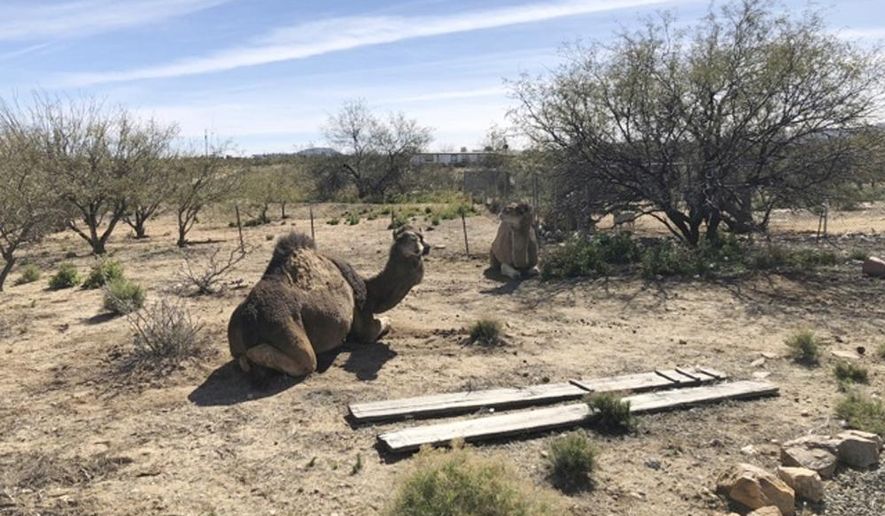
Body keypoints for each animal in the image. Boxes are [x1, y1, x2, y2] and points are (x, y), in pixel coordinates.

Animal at [227, 226, 429, 378]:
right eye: (411, 239)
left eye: (420, 236)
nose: (425, 247)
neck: (368, 289)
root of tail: (248, 320)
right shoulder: (363, 320)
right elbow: (383, 324)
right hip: (284, 327)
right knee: (306, 361)